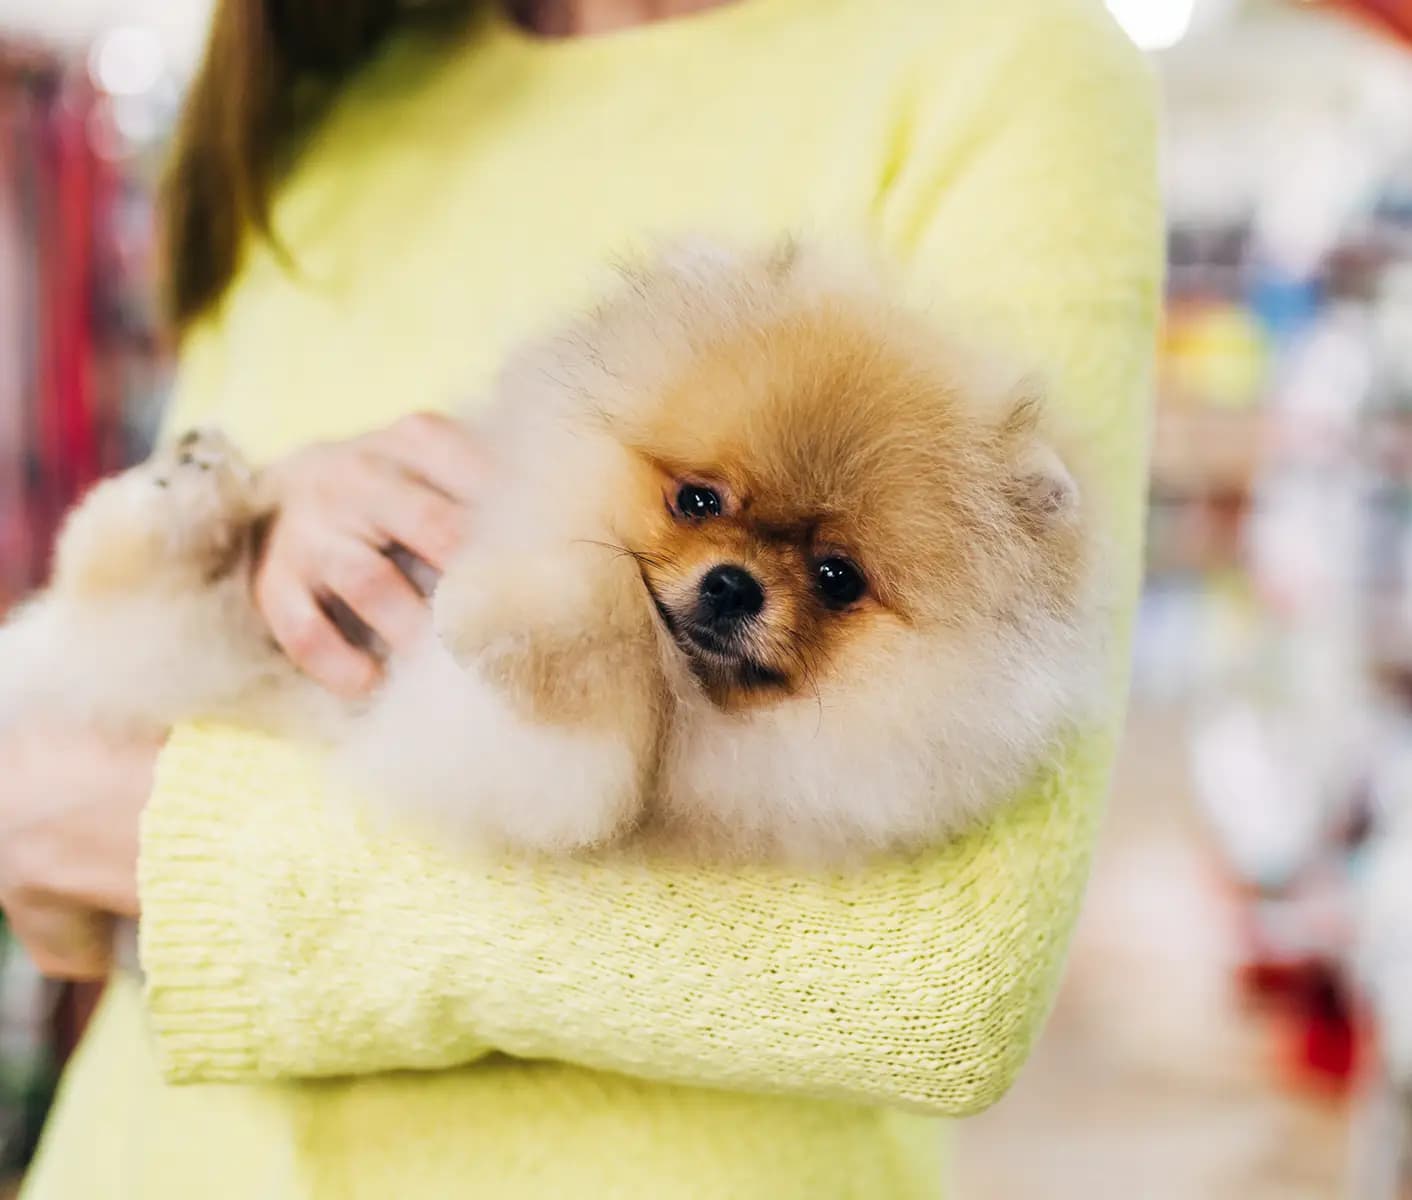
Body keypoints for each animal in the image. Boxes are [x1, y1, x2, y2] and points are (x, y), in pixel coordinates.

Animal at [0, 241, 1101, 858]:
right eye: (697, 499)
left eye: (837, 577)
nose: (733, 586)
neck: (695, 706)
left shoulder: (553, 773)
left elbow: (593, 679)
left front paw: (493, 608)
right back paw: (194, 483)